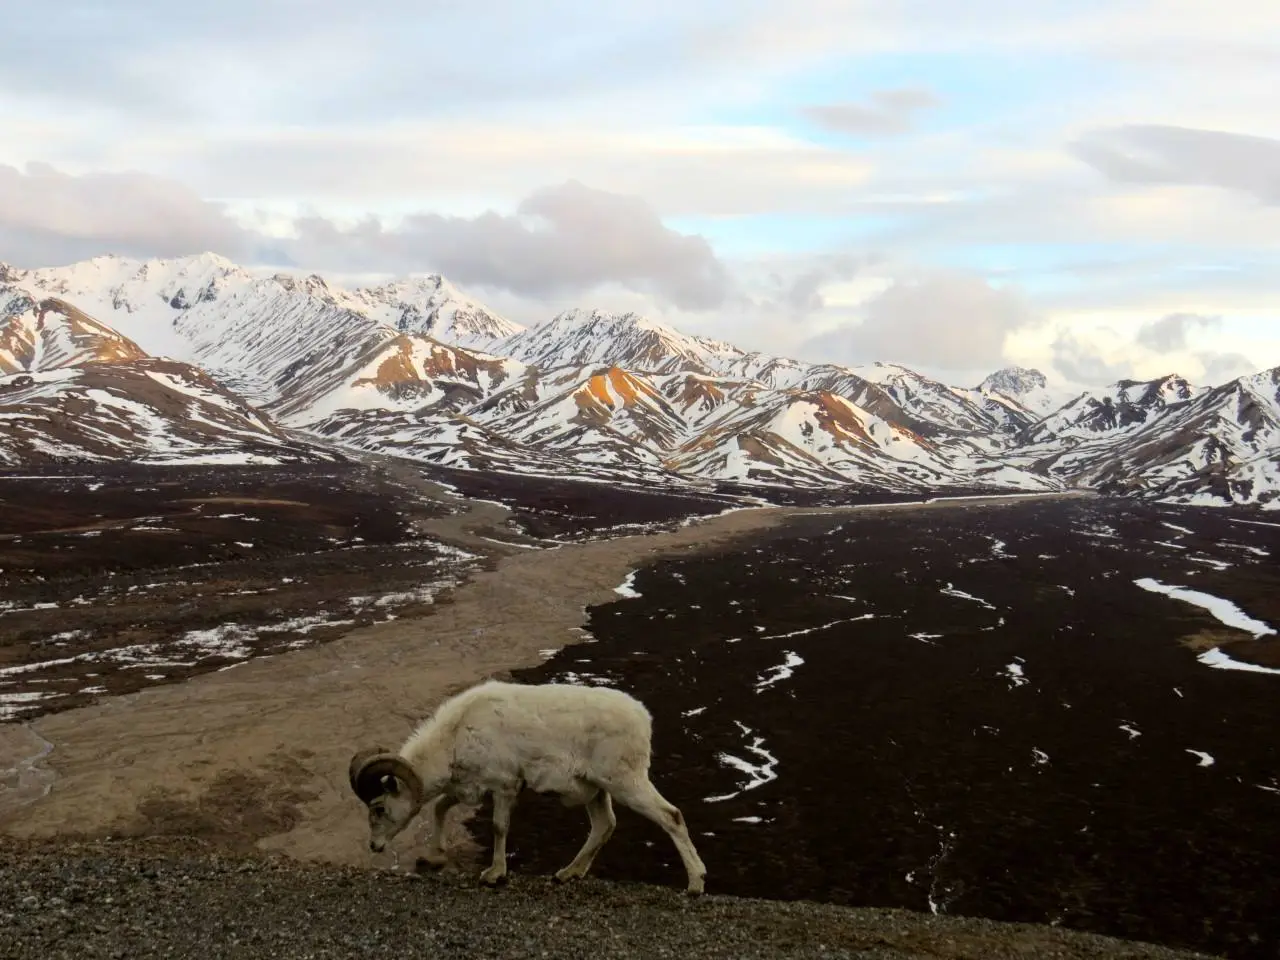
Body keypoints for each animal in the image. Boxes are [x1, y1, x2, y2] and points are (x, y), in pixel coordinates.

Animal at [350, 680, 706, 901]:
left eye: (379, 807)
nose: (374, 846)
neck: (456, 735)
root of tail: (643, 718)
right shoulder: (470, 788)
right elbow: (439, 808)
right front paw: (433, 857)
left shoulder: (504, 787)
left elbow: (498, 827)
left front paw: (494, 875)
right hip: (595, 791)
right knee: (604, 825)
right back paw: (567, 874)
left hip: (625, 783)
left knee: (671, 817)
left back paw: (695, 885)